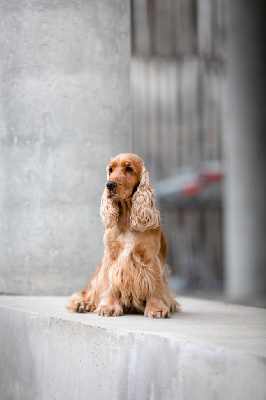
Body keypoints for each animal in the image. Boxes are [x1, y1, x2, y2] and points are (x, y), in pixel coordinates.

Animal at [66, 153, 181, 318]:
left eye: (129, 169)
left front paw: (157, 309)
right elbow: (108, 284)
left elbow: (155, 285)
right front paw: (108, 307)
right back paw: (82, 304)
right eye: (111, 169)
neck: (127, 219)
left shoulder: (151, 259)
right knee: (85, 293)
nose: (109, 184)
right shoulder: (111, 257)